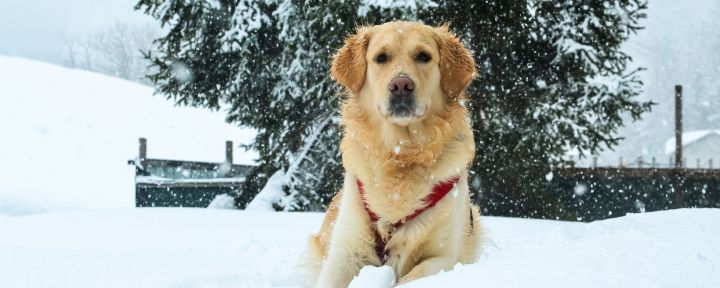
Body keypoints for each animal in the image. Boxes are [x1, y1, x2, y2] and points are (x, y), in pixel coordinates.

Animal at [302, 21, 478, 286]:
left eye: (423, 56)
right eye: (381, 58)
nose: (401, 86)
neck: (401, 153)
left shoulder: (445, 256)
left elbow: (412, 277)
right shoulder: (346, 252)